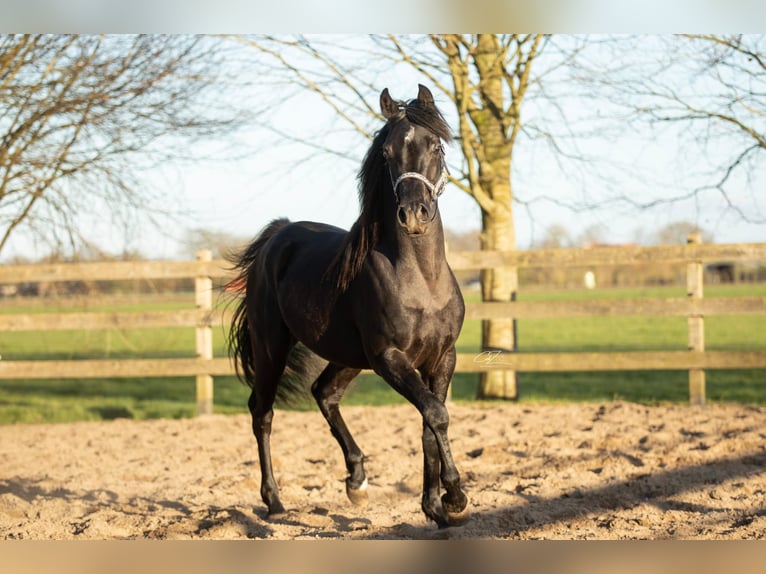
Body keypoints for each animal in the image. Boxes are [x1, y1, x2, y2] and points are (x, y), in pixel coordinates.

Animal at [227, 84, 468, 528]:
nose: (413, 215)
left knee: (323, 393)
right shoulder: (390, 358)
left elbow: (430, 425)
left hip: (348, 356)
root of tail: (278, 235)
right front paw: (456, 496)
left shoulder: (442, 357)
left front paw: (436, 508)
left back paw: (357, 481)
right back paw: (275, 503)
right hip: (273, 349)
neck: (421, 280)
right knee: (262, 412)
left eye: (435, 145)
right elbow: (436, 415)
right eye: (386, 153)